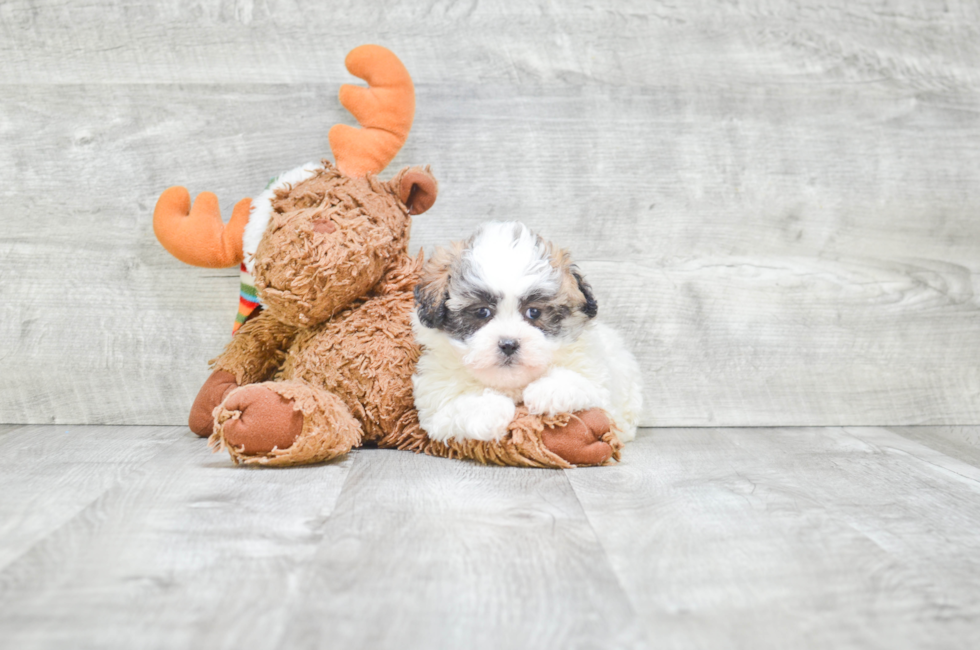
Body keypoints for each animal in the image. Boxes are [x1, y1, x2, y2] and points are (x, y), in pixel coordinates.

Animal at [412, 220, 644, 442]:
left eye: (534, 312)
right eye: (482, 312)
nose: (508, 344)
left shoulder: (599, 384)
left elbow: (584, 384)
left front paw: (551, 390)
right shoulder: (434, 405)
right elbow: (455, 407)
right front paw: (486, 409)